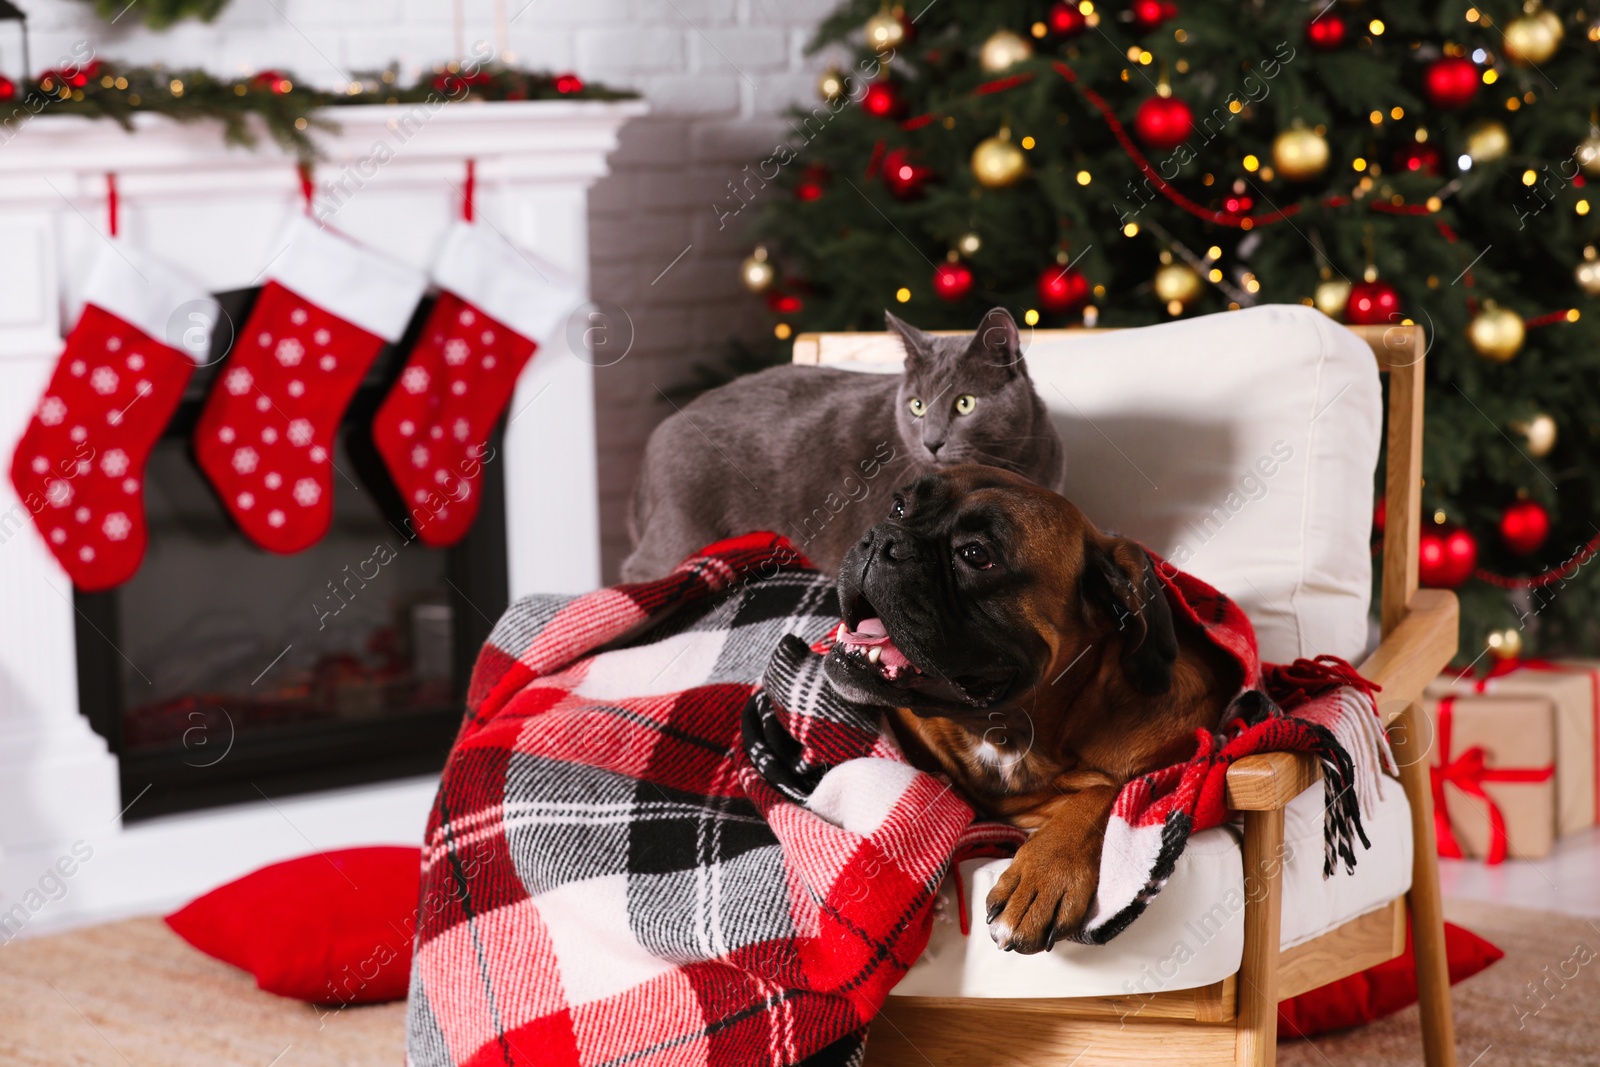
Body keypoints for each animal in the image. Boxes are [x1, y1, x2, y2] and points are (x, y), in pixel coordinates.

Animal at [825, 463, 1235, 953]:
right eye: (899, 507)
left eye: (977, 554)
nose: (880, 537)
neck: (1009, 734)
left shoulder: (1171, 762)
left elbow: (1108, 791)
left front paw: (1045, 873)